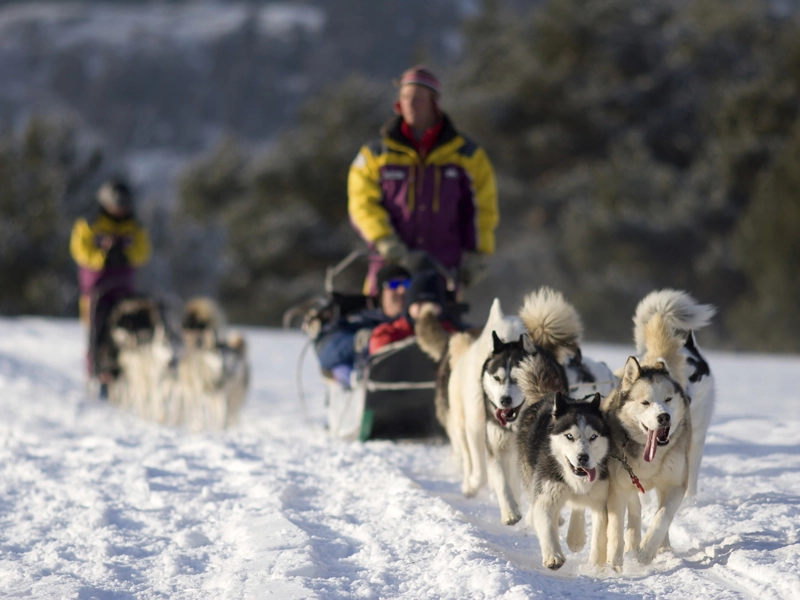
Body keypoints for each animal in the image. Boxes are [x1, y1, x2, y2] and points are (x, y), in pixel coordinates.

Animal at [516, 392, 608, 568]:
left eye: (593, 437)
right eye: (569, 436)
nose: (583, 457)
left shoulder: (601, 498)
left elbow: (599, 531)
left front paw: (596, 563)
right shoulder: (546, 495)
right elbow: (546, 525)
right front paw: (553, 555)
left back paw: (576, 537)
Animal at [604, 312, 692, 568]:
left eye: (668, 399)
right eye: (645, 402)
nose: (664, 417)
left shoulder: (675, 484)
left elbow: (662, 517)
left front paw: (647, 551)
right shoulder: (618, 489)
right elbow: (615, 530)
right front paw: (614, 563)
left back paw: (660, 547)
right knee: (634, 512)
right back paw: (632, 544)